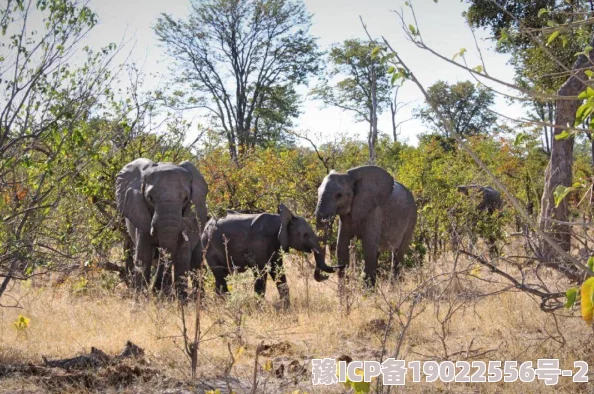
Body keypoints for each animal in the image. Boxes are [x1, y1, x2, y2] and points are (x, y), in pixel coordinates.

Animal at [115, 159, 208, 298]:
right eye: (150, 198)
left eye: (186, 198)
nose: (156, 290)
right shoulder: (141, 215)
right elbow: (143, 256)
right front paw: (140, 299)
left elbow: (182, 257)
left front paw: (181, 301)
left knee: (196, 263)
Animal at [201, 205, 340, 310]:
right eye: (305, 235)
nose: (325, 276)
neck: (280, 220)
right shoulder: (259, 242)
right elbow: (260, 274)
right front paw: (260, 310)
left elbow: (278, 271)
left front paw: (287, 309)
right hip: (208, 246)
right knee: (220, 275)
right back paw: (227, 306)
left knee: (220, 277)